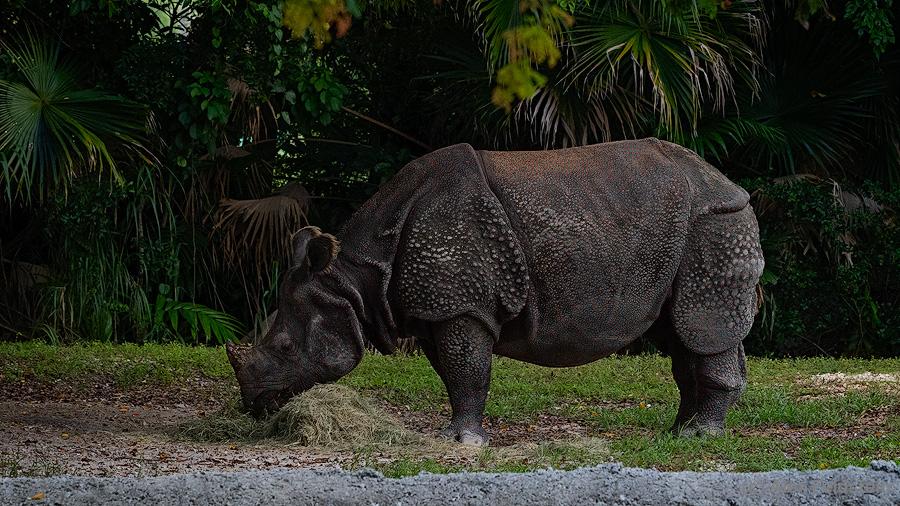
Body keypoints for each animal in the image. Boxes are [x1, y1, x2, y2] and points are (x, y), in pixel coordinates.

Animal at [227, 138, 764, 445]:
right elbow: (455, 374)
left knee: (701, 326)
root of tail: (727, 181)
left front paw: (463, 442)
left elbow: (468, 371)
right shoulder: (442, 309)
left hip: (714, 224)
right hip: (689, 229)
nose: (252, 404)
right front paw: (460, 434)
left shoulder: (460, 306)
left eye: (285, 346)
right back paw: (677, 433)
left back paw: (700, 437)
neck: (355, 280)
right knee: (683, 333)